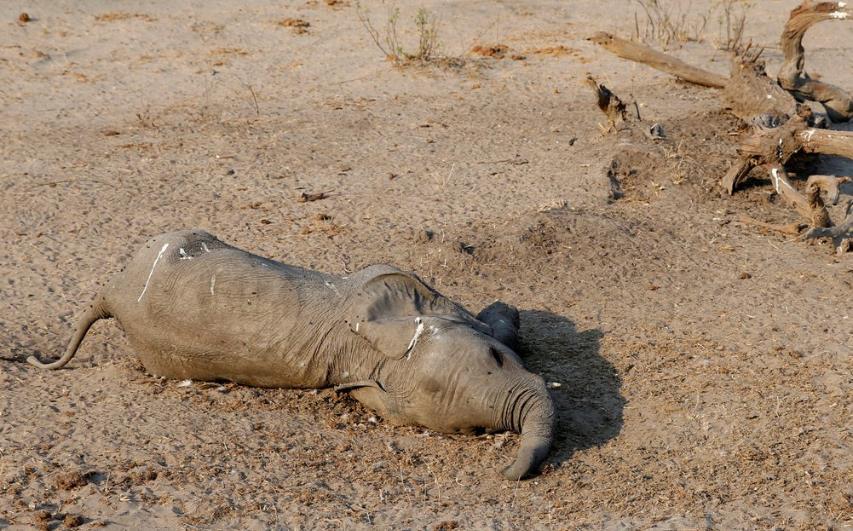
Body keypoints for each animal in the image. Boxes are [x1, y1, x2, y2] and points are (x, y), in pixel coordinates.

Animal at [28, 231, 552, 480]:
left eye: (475, 432)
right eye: (494, 359)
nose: (504, 473)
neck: (372, 350)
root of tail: (111, 295)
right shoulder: (382, 276)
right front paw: (507, 313)